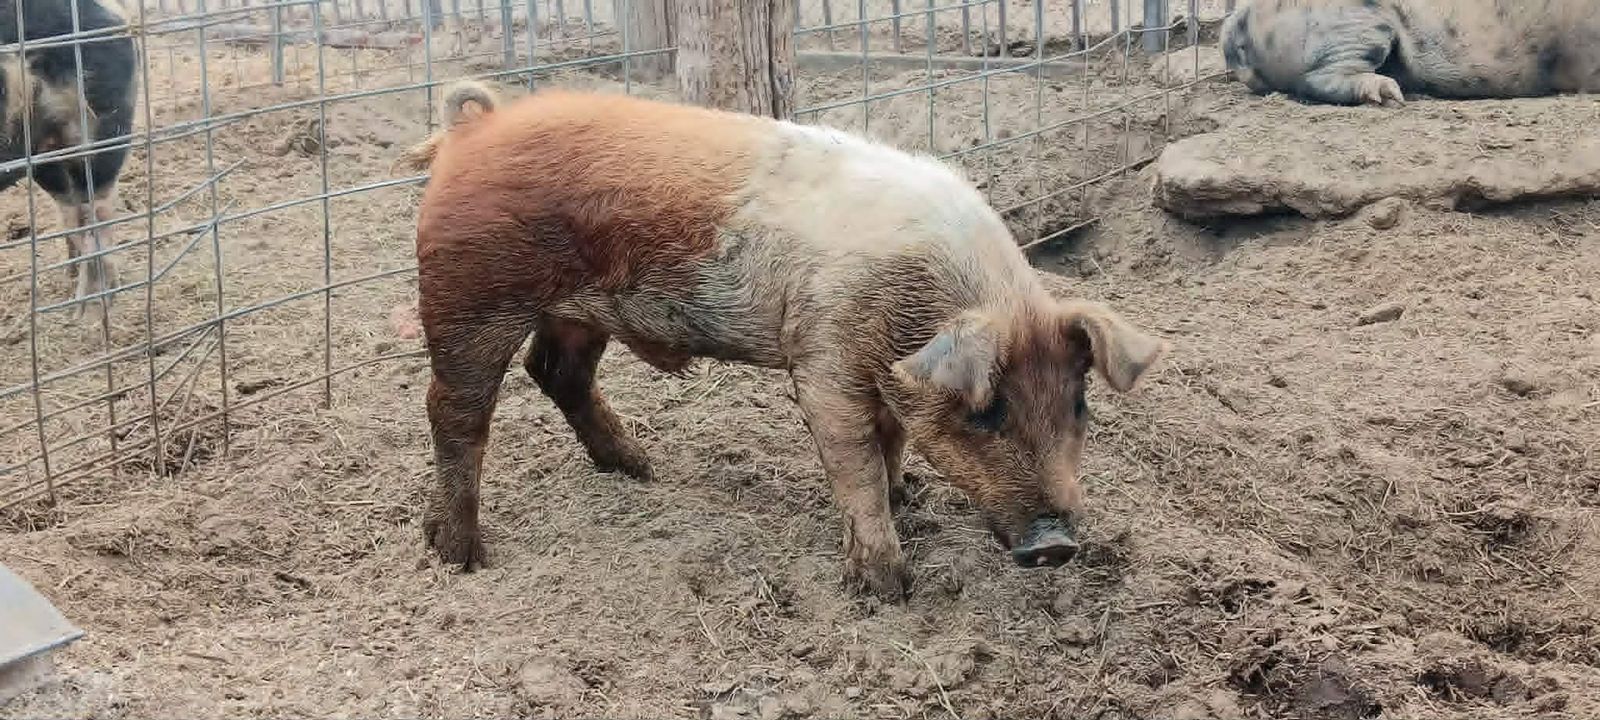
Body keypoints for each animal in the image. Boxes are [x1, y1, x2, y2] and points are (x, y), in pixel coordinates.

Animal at [1, 0, 138, 319]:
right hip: (42, 150)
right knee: (72, 208)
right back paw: (74, 280)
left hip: (103, 126)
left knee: (95, 208)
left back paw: (92, 307)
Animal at [398, 82, 1170, 601]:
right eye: (987, 413)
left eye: (1079, 408)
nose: (1057, 543)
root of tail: (472, 128)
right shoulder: (823, 355)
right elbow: (854, 458)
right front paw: (888, 589)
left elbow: (890, 440)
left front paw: (909, 493)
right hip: (469, 299)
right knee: (455, 412)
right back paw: (463, 556)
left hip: (576, 311)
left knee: (557, 372)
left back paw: (641, 469)